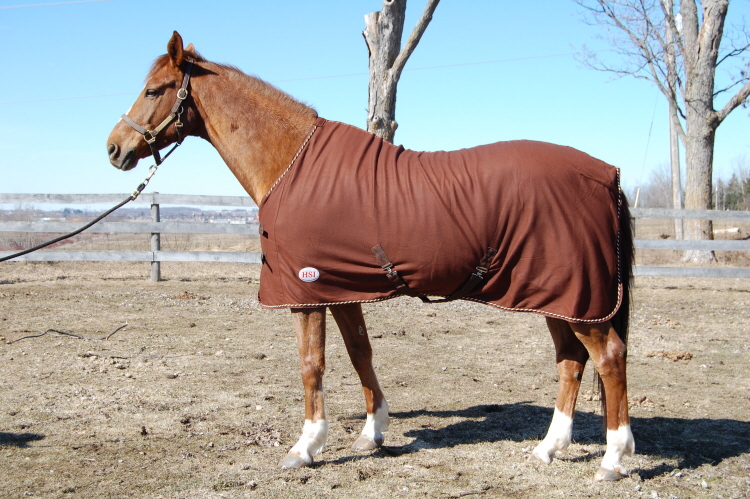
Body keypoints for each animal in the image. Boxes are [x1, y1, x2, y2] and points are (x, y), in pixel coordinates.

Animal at [107, 31, 635, 481]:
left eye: (153, 91)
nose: (114, 148)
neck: (290, 162)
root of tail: (607, 175)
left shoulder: (306, 292)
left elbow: (311, 364)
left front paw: (305, 447)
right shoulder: (339, 287)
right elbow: (360, 352)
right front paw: (372, 432)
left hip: (578, 301)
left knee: (609, 358)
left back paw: (612, 459)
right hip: (559, 298)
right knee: (571, 362)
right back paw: (548, 448)